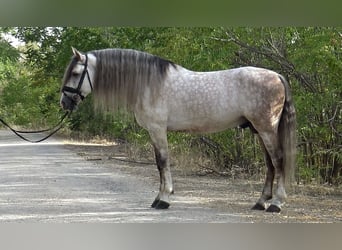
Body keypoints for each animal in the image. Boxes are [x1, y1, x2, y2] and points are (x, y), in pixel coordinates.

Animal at [60, 48, 296, 213]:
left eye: (76, 73)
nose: (64, 102)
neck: (148, 83)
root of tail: (277, 75)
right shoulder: (154, 132)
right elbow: (158, 164)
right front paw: (158, 198)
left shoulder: (158, 130)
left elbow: (163, 162)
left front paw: (164, 199)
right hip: (259, 130)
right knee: (270, 165)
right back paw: (260, 202)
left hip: (266, 129)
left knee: (278, 160)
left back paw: (276, 203)